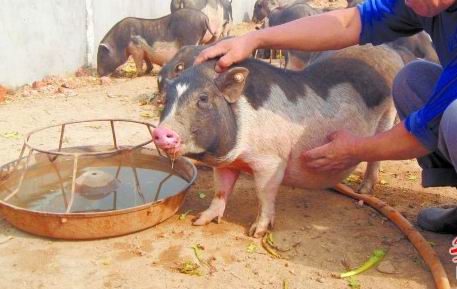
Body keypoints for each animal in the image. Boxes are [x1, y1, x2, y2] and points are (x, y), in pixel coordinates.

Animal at [153, 44, 402, 235]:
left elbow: (264, 194)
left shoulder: (271, 161)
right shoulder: (226, 163)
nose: (160, 132)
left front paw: (256, 233)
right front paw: (200, 220)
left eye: (203, 98)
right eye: (167, 99)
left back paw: (364, 191)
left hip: (388, 115)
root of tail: (390, 52)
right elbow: (221, 190)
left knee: (375, 157)